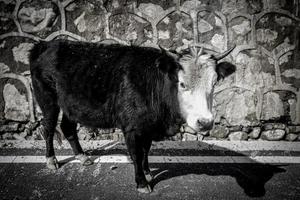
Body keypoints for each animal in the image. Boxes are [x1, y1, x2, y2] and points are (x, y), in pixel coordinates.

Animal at [29, 39, 236, 193]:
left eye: (214, 83)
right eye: (182, 84)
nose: (205, 122)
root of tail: (45, 44)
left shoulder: (148, 127)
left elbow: (145, 151)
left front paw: (148, 172)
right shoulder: (132, 128)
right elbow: (136, 154)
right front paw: (142, 183)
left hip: (70, 104)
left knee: (68, 127)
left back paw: (82, 156)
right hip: (47, 99)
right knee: (48, 128)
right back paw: (51, 160)